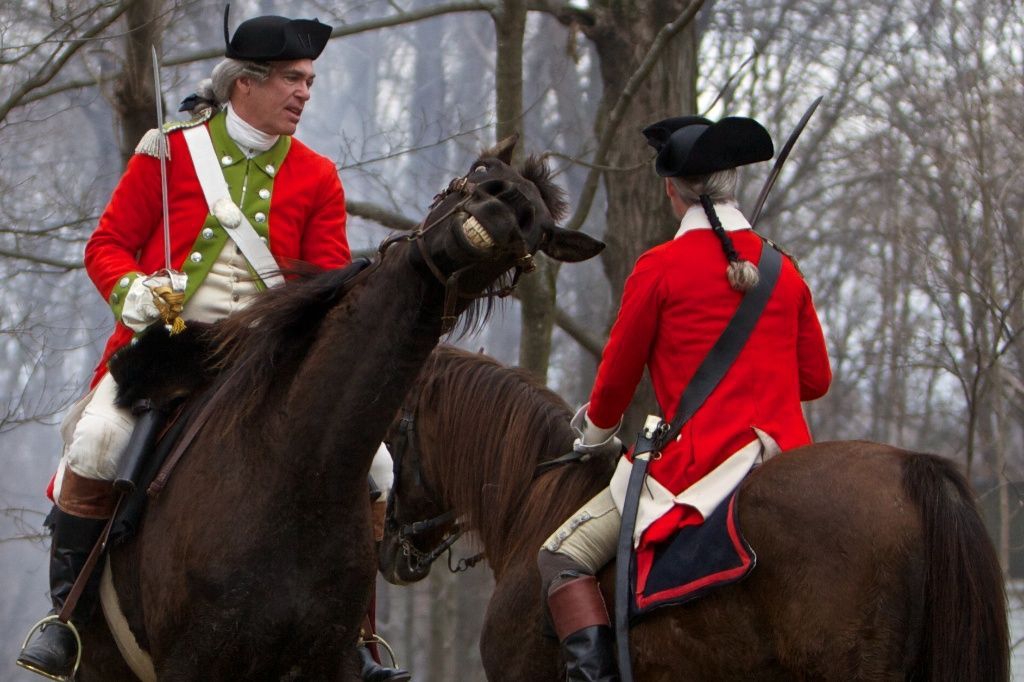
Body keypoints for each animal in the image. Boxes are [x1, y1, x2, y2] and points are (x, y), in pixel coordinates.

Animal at [68, 138, 602, 679]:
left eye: (539, 228)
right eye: (479, 170)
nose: (505, 203)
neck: (298, 466)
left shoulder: (330, 659)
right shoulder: (192, 662)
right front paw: (148, 298)